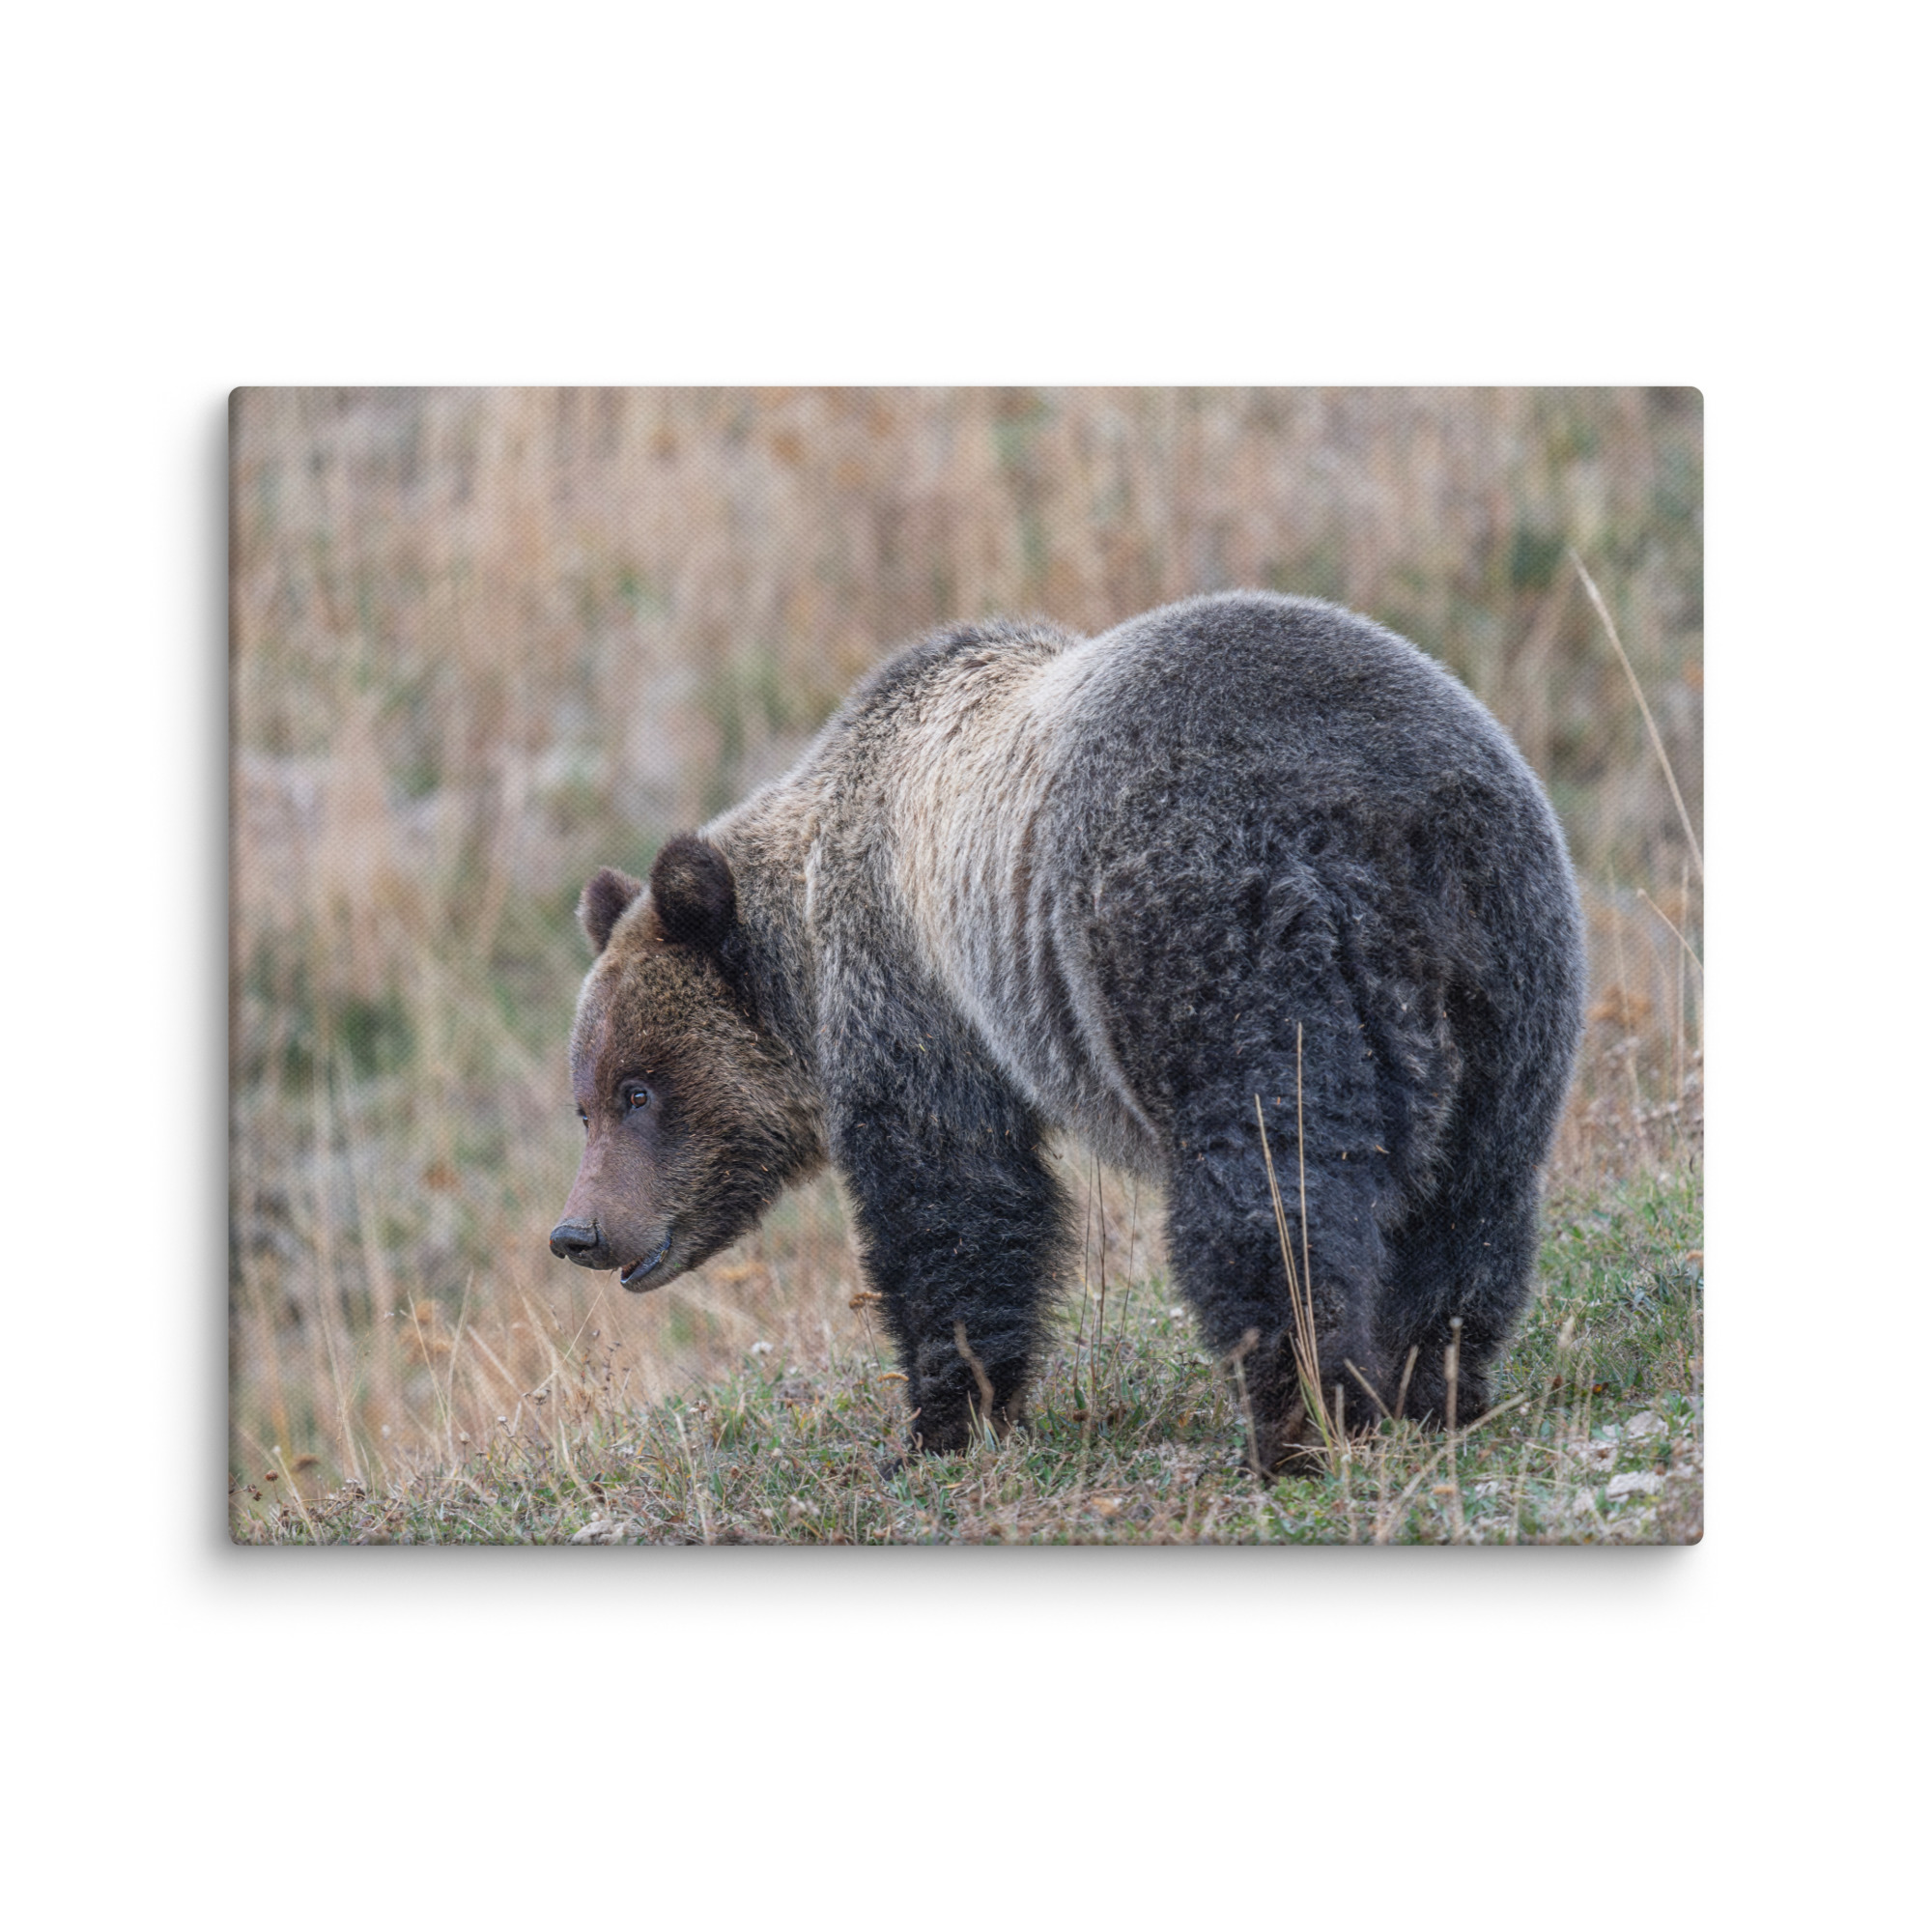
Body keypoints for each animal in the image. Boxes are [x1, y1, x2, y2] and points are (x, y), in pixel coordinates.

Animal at [549, 590, 1585, 1467]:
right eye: (585, 1102)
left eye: (639, 1089)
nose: (579, 1232)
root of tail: (1384, 817)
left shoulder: (917, 992)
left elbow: (954, 1202)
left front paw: (940, 1424)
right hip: (1508, 966)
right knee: (1472, 1196)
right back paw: (1433, 1388)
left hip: (1216, 938)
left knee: (1271, 1192)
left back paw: (1299, 1423)